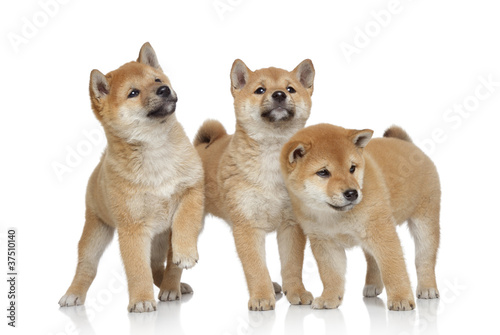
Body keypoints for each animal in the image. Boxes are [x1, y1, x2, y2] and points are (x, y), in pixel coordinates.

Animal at [59, 43, 205, 314]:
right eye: (133, 93)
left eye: (157, 79)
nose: (164, 89)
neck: (156, 151)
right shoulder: (132, 229)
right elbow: (137, 269)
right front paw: (141, 300)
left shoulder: (192, 190)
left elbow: (185, 222)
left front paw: (186, 253)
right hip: (95, 233)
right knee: (87, 268)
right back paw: (73, 294)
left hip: (160, 239)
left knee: (161, 266)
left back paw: (172, 287)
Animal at [193, 59, 314, 312]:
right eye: (260, 90)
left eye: (290, 89)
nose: (278, 95)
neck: (271, 158)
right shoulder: (247, 225)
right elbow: (255, 268)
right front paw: (261, 296)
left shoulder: (291, 224)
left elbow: (292, 264)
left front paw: (296, 291)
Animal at [282, 124, 442, 312]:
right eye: (323, 172)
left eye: (352, 168)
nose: (352, 193)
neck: (335, 216)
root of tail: (407, 144)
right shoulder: (325, 242)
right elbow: (331, 274)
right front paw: (330, 297)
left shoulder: (382, 233)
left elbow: (393, 268)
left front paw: (401, 298)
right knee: (372, 260)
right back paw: (373, 285)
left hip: (424, 223)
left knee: (424, 259)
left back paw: (427, 288)